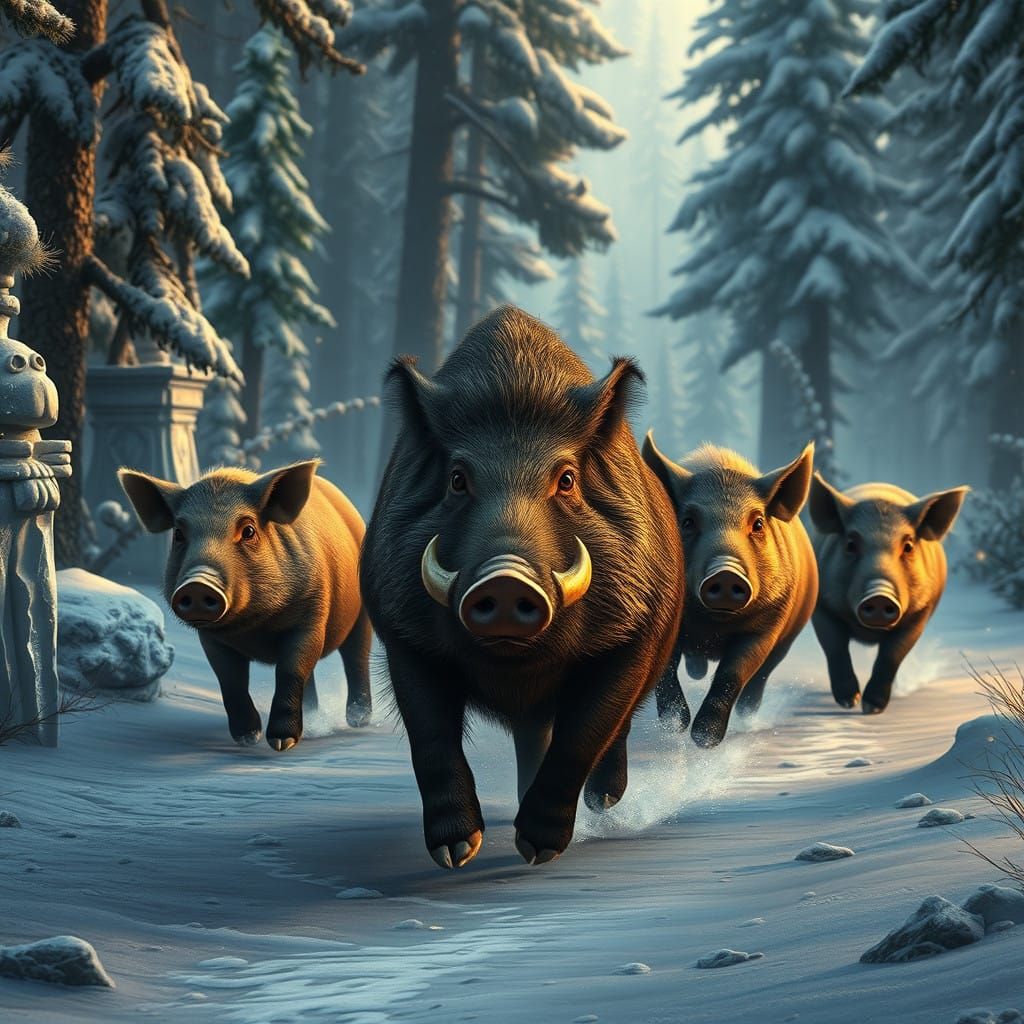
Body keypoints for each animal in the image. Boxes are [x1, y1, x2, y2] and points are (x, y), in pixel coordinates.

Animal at [117, 461, 372, 749]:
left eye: (248, 530)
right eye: (179, 534)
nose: (198, 583)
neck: (253, 626)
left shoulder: (311, 617)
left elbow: (291, 670)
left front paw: (282, 743)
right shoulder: (211, 638)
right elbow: (230, 680)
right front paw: (248, 738)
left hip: (362, 612)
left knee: (356, 655)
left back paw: (358, 720)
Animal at [360, 305, 684, 870]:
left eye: (567, 479)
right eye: (458, 478)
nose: (507, 578)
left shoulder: (631, 638)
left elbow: (585, 733)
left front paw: (539, 851)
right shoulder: (404, 637)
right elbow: (431, 736)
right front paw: (457, 853)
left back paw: (603, 802)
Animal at [642, 436, 818, 747]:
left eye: (757, 523)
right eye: (687, 521)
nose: (725, 572)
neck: (712, 625)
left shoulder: (767, 625)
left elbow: (733, 673)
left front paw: (705, 740)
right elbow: (665, 670)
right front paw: (675, 727)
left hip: (789, 637)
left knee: (762, 675)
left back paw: (748, 718)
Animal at [808, 475, 968, 714]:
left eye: (908, 546)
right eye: (851, 544)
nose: (879, 595)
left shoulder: (920, 614)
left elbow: (892, 655)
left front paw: (871, 709)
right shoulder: (823, 608)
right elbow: (835, 648)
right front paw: (849, 702)